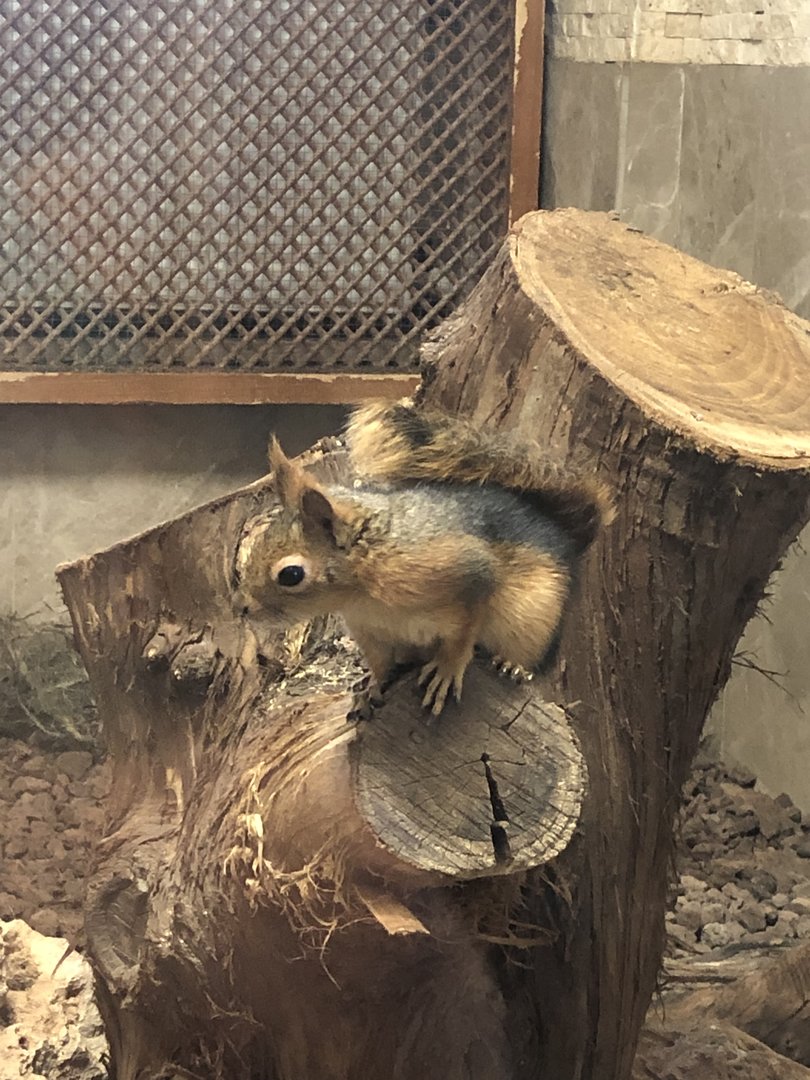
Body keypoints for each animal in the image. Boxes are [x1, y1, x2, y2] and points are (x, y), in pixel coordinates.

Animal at [233, 401, 613, 715]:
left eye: (291, 575)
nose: (243, 608)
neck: (362, 590)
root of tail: (563, 536)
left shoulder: (465, 573)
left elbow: (463, 634)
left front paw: (446, 669)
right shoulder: (371, 632)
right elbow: (381, 664)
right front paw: (371, 687)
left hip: (535, 619)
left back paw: (513, 665)